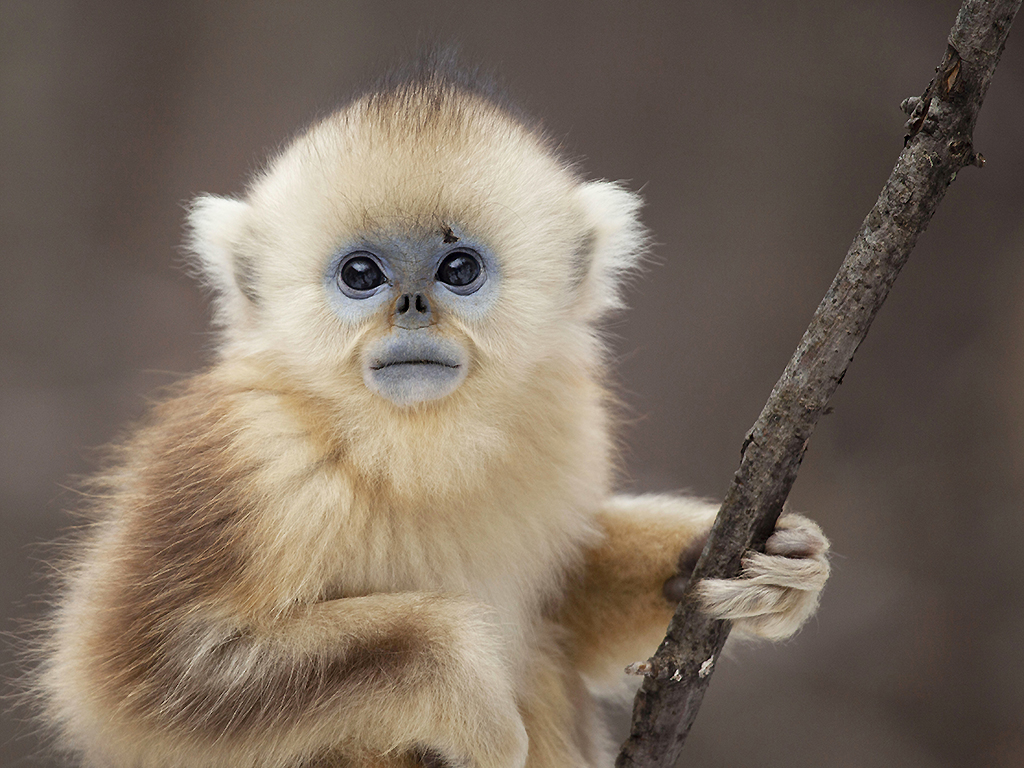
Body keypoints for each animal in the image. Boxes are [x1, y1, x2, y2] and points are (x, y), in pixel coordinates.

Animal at [35, 63, 829, 768]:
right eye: (361, 275)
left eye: (459, 270)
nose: (412, 308)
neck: (410, 442)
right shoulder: (251, 460)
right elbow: (136, 680)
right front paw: (474, 702)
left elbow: (564, 602)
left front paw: (737, 560)